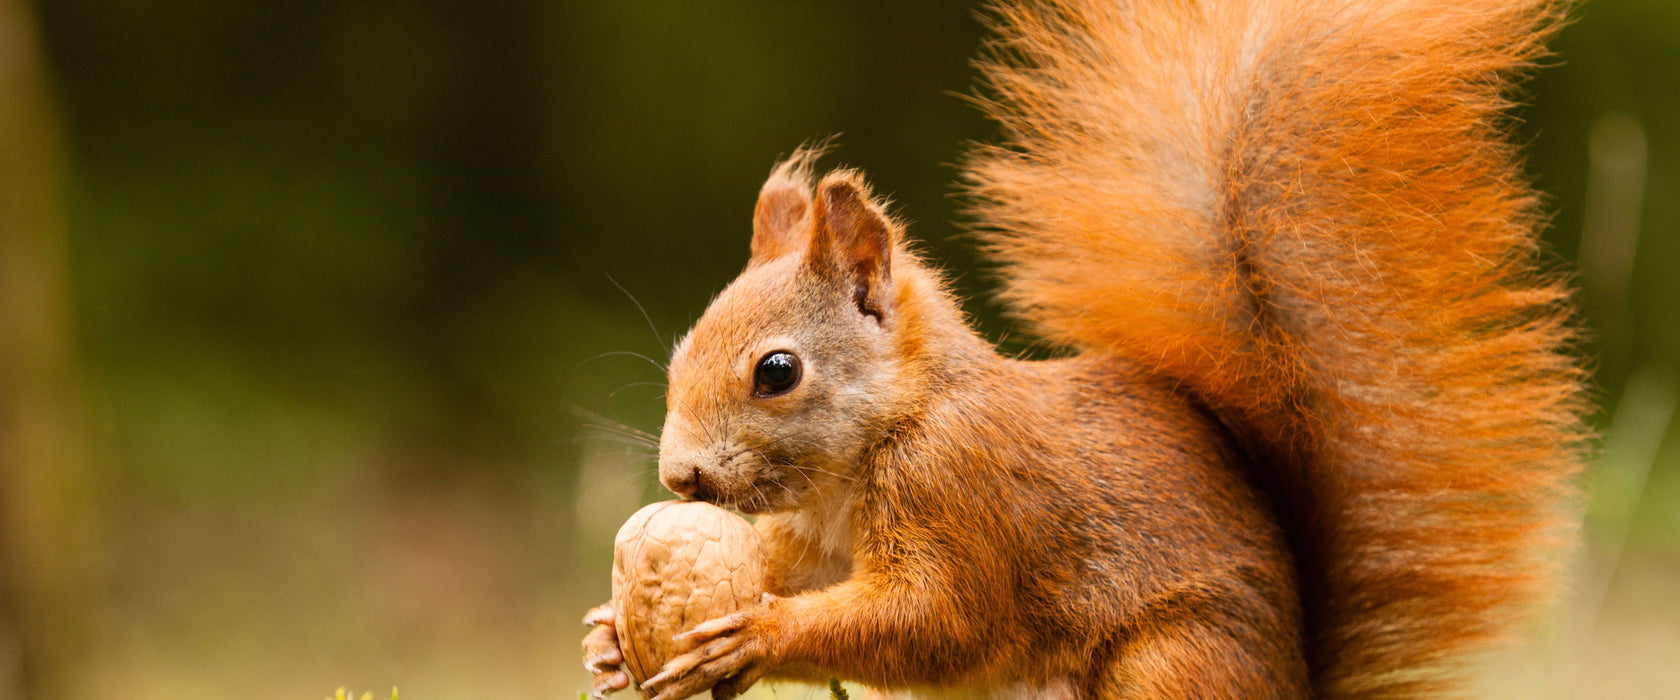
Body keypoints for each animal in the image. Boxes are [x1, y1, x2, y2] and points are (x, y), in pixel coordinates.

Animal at [577, 1, 1585, 698]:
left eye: (777, 372)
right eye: (681, 351)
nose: (678, 477)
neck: (883, 439)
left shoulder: (967, 493)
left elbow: (936, 617)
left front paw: (755, 634)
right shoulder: (819, 546)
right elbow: (803, 577)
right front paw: (609, 637)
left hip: (1172, 665)